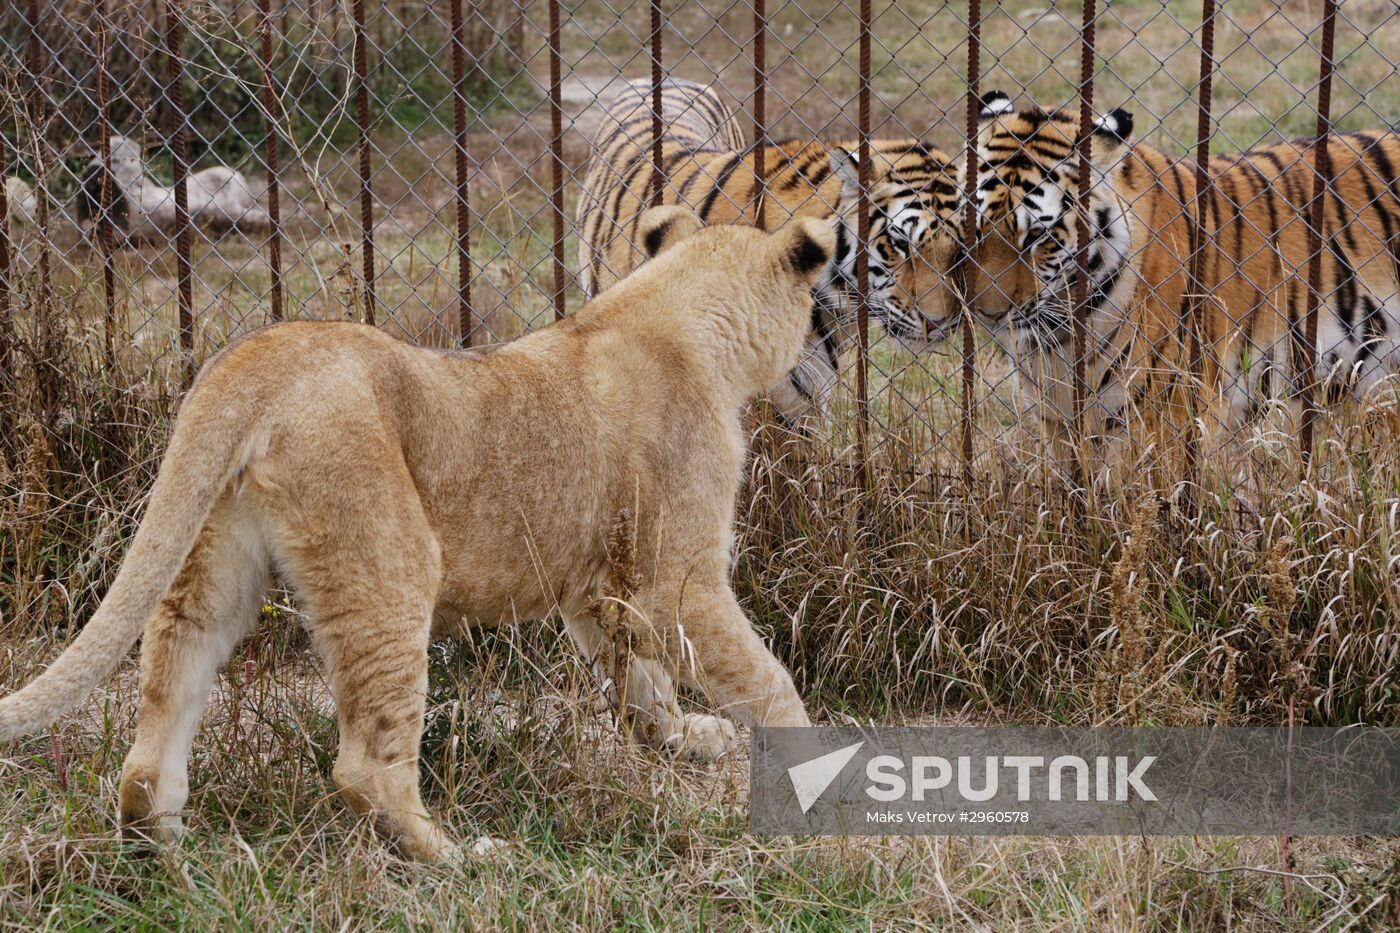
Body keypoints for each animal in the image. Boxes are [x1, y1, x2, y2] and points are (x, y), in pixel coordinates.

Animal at [0, 206, 829, 861]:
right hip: (388, 558)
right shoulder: (673, 579)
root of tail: (262, 355)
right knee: (366, 765)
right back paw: (462, 856)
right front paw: (814, 779)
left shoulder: (597, 585)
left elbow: (640, 681)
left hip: (217, 548)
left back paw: (164, 839)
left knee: (173, 669)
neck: (675, 308)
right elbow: (764, 677)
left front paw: (685, 739)